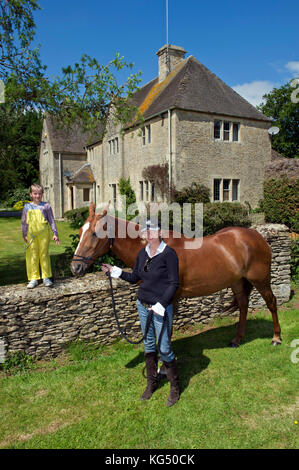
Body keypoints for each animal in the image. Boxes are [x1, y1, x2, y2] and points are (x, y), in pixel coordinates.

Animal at [71, 200, 282, 346]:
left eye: (94, 234)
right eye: (81, 231)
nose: (75, 268)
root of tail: (256, 236)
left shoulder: (169, 300)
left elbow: (166, 330)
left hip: (260, 279)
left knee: (271, 302)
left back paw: (276, 338)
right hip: (237, 281)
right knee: (244, 305)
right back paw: (237, 340)